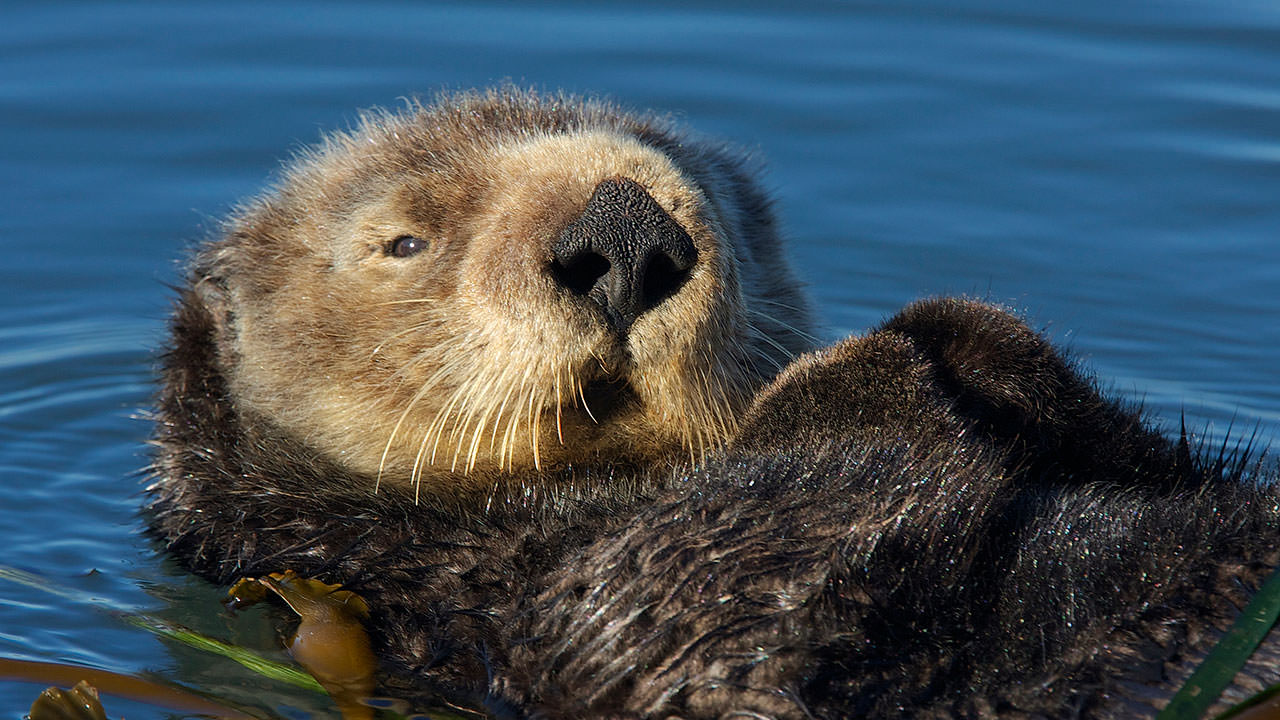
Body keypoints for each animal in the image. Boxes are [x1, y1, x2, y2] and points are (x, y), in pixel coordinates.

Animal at [149, 87, 1280, 712]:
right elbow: (698, 593)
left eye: (727, 206)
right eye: (404, 241)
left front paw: (966, 332)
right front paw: (859, 365)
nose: (625, 230)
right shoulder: (487, 604)